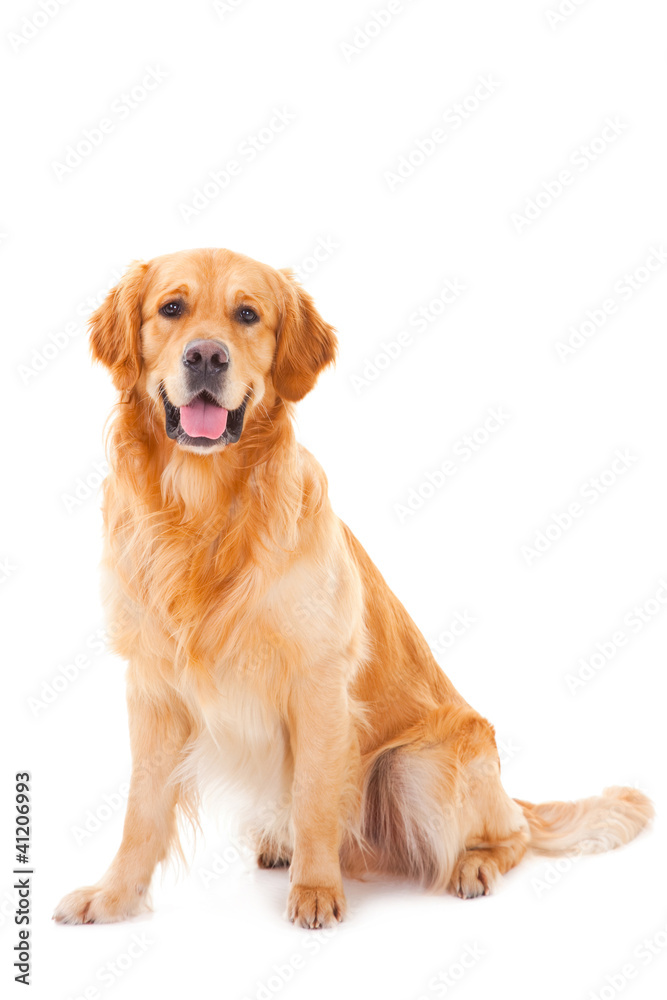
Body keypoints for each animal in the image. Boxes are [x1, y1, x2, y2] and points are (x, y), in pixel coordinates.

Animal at [53, 248, 652, 928]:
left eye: (247, 315)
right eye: (171, 308)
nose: (206, 356)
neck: (203, 508)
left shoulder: (319, 680)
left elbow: (315, 795)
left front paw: (316, 890)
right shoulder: (152, 685)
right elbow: (140, 810)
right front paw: (114, 896)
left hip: (415, 763)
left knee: (512, 836)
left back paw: (471, 865)